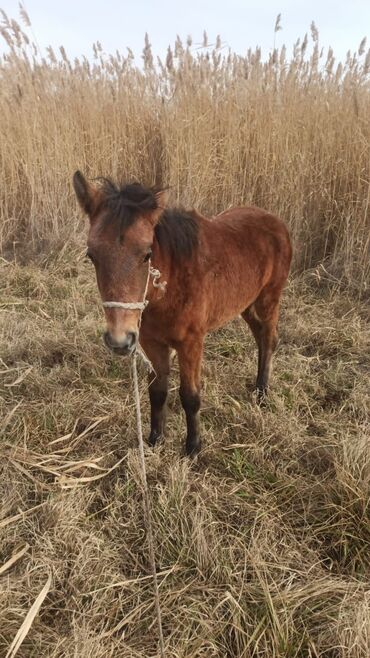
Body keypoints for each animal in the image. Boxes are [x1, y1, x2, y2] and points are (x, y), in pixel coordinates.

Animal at [72, 172, 292, 454]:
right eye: (92, 256)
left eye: (147, 254)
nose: (119, 341)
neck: (169, 288)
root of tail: (275, 221)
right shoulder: (151, 342)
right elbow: (157, 391)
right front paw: (155, 440)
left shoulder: (191, 343)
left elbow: (190, 396)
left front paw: (193, 447)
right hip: (246, 305)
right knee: (261, 338)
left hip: (268, 299)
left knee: (269, 339)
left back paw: (263, 394)